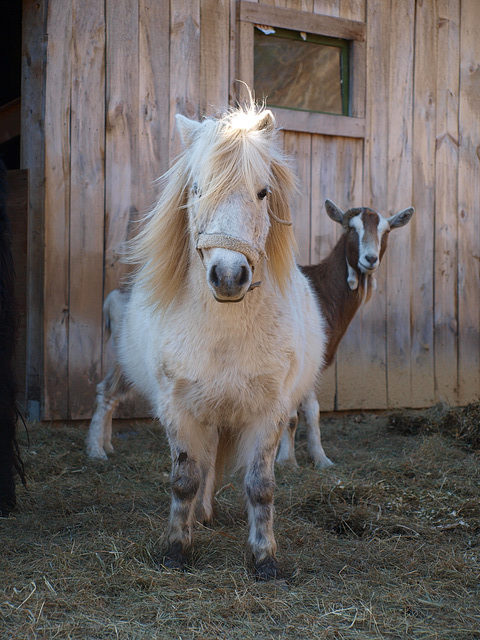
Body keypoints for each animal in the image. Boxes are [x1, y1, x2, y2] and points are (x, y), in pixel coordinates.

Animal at [86, 105, 326, 580]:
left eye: (262, 192)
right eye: (197, 189)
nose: (229, 276)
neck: (225, 330)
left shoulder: (268, 413)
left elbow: (260, 486)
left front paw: (264, 559)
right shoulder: (179, 409)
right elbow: (185, 479)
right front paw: (177, 550)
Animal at [276, 198, 414, 468]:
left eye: (386, 231)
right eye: (351, 229)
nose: (370, 259)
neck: (320, 291)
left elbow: (312, 411)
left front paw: (321, 460)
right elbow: (293, 413)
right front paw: (287, 461)